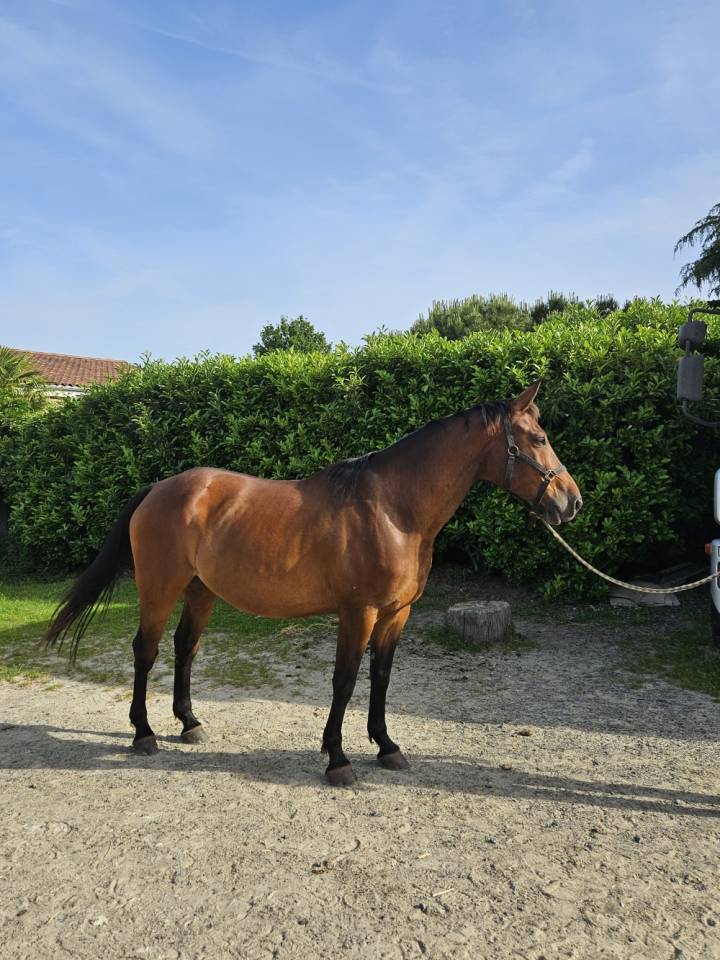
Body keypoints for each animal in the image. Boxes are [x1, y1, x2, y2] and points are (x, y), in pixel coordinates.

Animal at [45, 381, 582, 784]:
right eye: (538, 439)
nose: (571, 502)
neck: (393, 509)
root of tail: (158, 488)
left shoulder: (396, 613)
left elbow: (381, 677)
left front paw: (386, 746)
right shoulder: (358, 612)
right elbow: (344, 680)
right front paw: (338, 759)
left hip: (201, 591)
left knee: (185, 648)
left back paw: (190, 723)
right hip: (159, 587)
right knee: (146, 650)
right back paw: (144, 734)